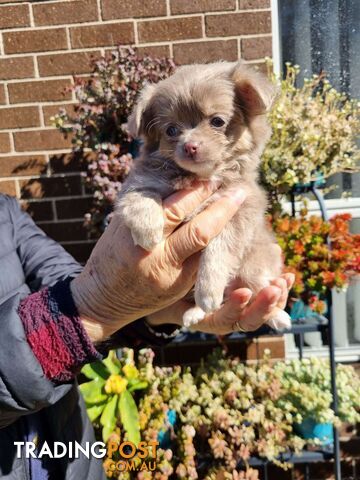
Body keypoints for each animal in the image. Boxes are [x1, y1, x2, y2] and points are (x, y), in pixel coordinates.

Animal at [116, 61, 292, 330]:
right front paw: (148, 232)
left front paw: (208, 290)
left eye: (217, 122)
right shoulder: (138, 183)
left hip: (255, 267)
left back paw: (277, 315)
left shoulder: (240, 208)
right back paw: (195, 312)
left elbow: (218, 248)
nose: (190, 146)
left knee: (259, 287)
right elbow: (141, 198)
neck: (202, 177)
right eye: (171, 130)